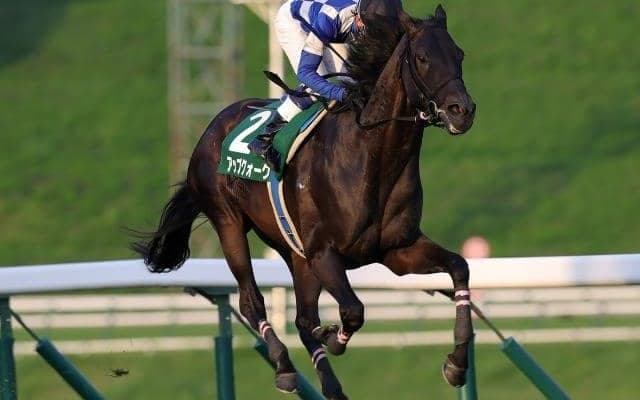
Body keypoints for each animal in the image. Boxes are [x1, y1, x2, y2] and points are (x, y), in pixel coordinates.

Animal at [133, 5, 476, 399]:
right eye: (422, 58)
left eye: (459, 54)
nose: (462, 110)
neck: (372, 156)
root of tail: (212, 127)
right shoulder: (323, 253)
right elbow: (354, 310)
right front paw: (334, 338)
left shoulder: (396, 250)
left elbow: (459, 267)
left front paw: (457, 362)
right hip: (229, 222)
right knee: (252, 301)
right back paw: (284, 366)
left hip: (292, 250)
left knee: (302, 318)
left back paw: (330, 384)